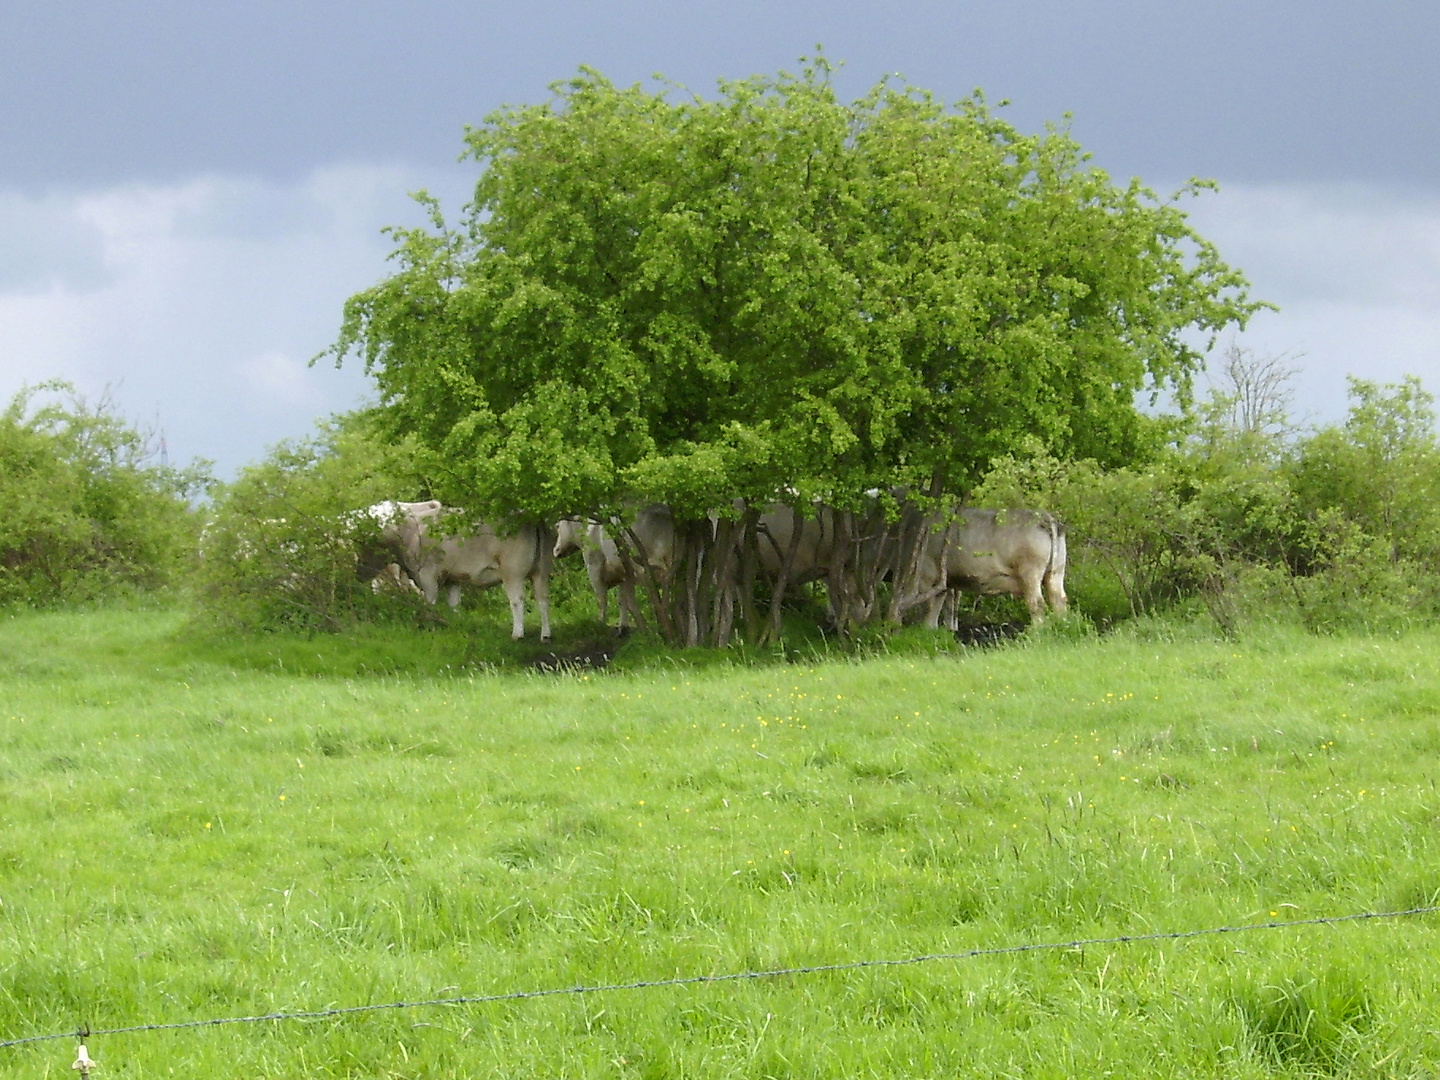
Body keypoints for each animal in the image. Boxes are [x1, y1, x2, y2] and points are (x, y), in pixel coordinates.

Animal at [365, 501, 555, 642]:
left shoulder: (427, 575)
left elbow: (430, 602)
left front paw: (430, 624)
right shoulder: (453, 578)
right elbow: (454, 604)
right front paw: (455, 625)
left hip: (512, 570)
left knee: (517, 600)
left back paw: (517, 633)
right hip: (541, 569)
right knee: (543, 598)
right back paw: (545, 634)